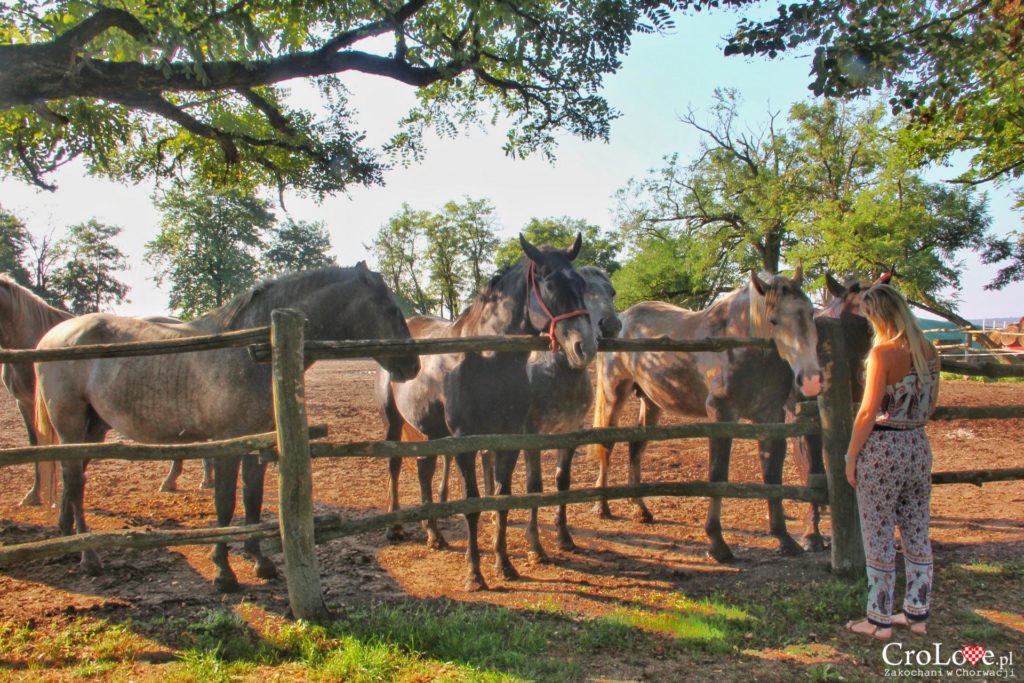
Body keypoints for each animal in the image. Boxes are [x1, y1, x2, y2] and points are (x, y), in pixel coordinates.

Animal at [35, 264, 419, 589]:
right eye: (390, 310)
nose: (412, 366)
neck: (252, 350)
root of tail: (52, 336)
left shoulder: (256, 441)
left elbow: (252, 499)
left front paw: (260, 561)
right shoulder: (227, 443)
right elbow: (225, 503)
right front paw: (224, 571)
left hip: (93, 430)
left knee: (71, 480)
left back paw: (67, 537)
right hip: (72, 427)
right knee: (75, 482)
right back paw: (89, 556)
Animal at [380, 236, 598, 593]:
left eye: (581, 283)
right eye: (550, 283)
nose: (586, 347)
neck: (485, 359)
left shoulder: (507, 441)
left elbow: (502, 498)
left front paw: (505, 565)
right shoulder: (465, 444)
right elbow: (473, 505)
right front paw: (475, 575)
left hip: (428, 432)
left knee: (424, 471)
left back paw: (434, 535)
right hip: (393, 422)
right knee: (395, 466)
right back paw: (394, 529)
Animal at [589, 270, 819, 565]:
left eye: (811, 312)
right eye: (774, 320)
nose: (811, 379)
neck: (742, 344)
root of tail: (622, 320)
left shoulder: (771, 418)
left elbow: (772, 475)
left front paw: (784, 538)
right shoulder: (722, 415)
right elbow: (717, 475)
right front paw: (717, 543)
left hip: (651, 403)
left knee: (635, 448)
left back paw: (641, 509)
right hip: (613, 396)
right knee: (606, 446)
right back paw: (601, 506)